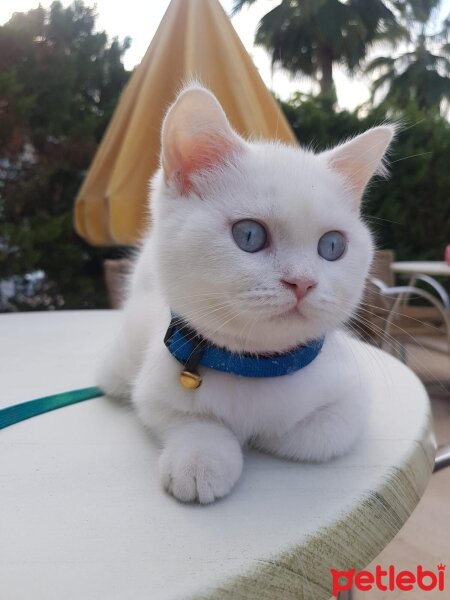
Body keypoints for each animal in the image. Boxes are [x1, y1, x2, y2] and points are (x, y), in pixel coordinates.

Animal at [98, 85, 394, 502]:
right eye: (250, 235)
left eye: (333, 245)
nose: (302, 282)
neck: (255, 366)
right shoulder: (154, 389)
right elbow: (189, 419)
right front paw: (202, 458)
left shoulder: (350, 397)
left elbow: (312, 435)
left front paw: (260, 434)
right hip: (121, 359)